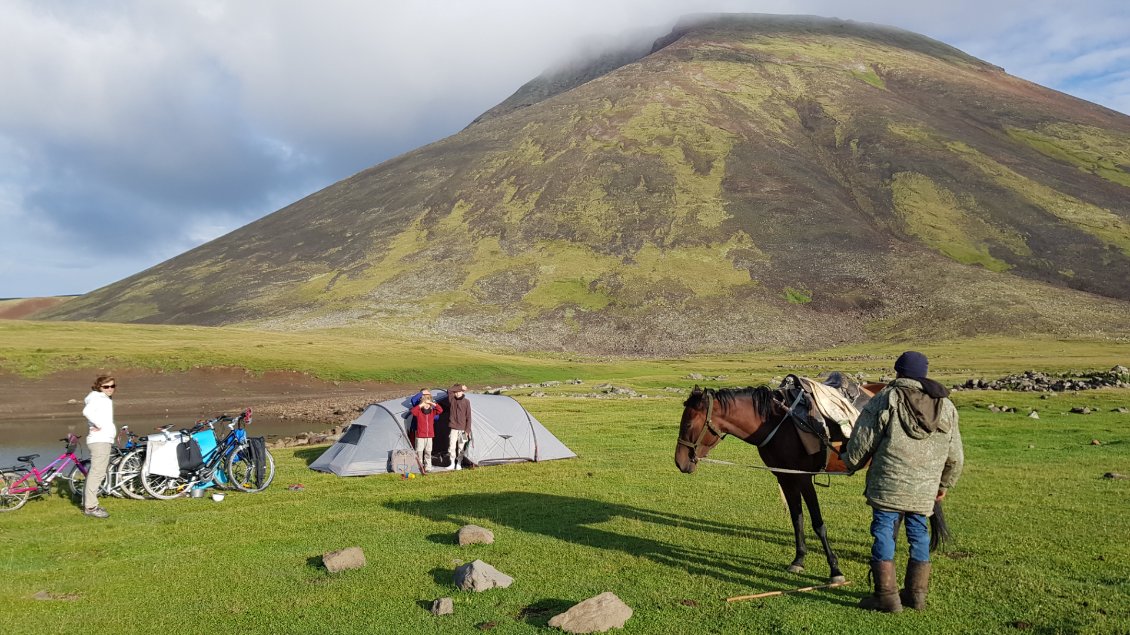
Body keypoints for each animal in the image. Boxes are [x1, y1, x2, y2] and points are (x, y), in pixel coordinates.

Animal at [678, 379, 881, 583]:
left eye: (688, 425)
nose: (679, 462)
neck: (776, 425)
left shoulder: (803, 477)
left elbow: (818, 524)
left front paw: (835, 569)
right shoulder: (785, 477)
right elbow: (797, 519)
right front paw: (798, 560)